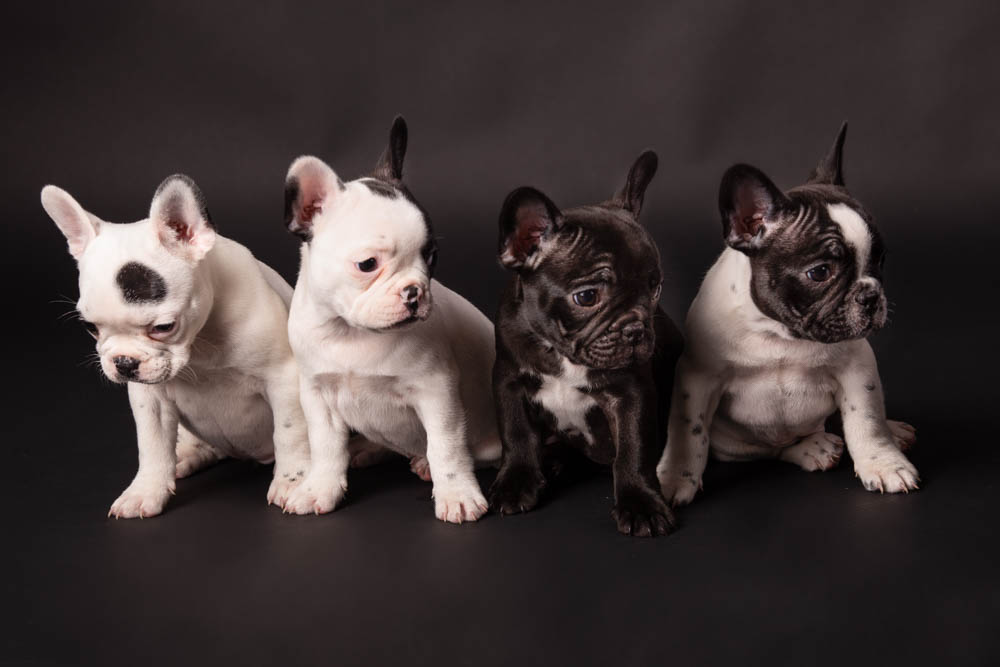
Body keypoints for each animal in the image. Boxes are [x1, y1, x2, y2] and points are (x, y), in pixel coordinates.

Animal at [42, 175, 308, 520]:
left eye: (163, 327)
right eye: (91, 328)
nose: (124, 362)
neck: (201, 343)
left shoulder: (283, 379)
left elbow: (290, 432)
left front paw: (292, 481)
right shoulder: (150, 399)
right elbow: (153, 445)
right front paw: (145, 490)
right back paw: (185, 455)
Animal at [282, 117, 500, 524]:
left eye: (431, 256)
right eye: (368, 264)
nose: (415, 291)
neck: (351, 333)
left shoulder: (437, 390)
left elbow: (446, 446)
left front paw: (457, 494)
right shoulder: (317, 394)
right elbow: (324, 447)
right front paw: (319, 488)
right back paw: (366, 448)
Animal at [488, 153, 684, 536]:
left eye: (655, 289)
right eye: (587, 296)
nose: (636, 329)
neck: (562, 353)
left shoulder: (631, 393)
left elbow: (634, 450)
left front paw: (640, 503)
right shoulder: (509, 380)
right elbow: (516, 434)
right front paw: (516, 482)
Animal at [660, 124, 916, 506]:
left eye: (880, 261)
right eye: (820, 272)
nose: (871, 295)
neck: (780, 334)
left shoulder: (858, 369)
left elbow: (867, 421)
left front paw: (884, 462)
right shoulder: (697, 376)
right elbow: (688, 431)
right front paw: (675, 477)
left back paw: (891, 430)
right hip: (737, 444)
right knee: (775, 450)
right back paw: (812, 449)